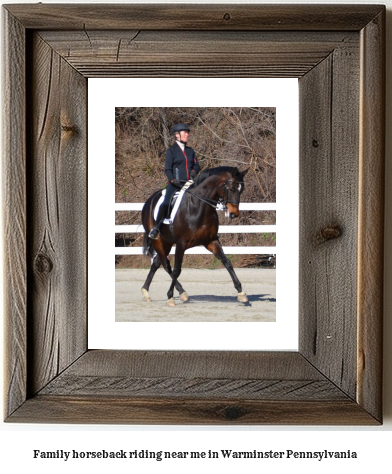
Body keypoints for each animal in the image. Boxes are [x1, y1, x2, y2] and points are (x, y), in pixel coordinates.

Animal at [141, 167, 248, 308]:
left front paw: (241, 293)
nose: (233, 214)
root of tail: (150, 200)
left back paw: (148, 291)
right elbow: (177, 270)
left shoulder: (211, 241)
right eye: (232, 188)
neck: (200, 206)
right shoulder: (181, 244)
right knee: (166, 264)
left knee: (157, 263)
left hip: (167, 242)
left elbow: (227, 263)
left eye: (242, 189)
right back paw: (176, 293)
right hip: (157, 240)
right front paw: (170, 296)